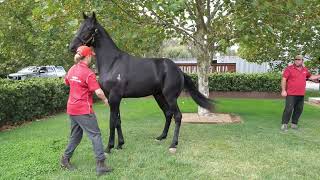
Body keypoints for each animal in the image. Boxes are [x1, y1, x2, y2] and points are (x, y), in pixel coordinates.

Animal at [70, 12, 215, 153]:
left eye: (89, 28)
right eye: (80, 26)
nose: (72, 47)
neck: (112, 63)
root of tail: (178, 70)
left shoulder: (114, 97)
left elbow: (112, 121)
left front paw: (109, 147)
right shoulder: (114, 98)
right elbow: (118, 121)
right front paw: (120, 144)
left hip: (171, 97)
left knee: (177, 116)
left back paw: (173, 144)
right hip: (159, 96)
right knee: (168, 113)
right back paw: (161, 136)